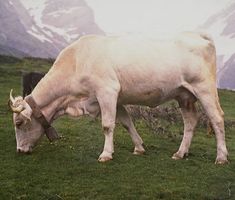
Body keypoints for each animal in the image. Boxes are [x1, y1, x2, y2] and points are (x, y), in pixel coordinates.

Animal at [8, 32, 228, 164]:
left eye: (19, 123)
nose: (19, 150)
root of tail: (197, 35)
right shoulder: (117, 98)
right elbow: (126, 123)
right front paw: (139, 148)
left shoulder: (107, 90)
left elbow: (107, 125)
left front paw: (106, 154)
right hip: (184, 95)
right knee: (190, 121)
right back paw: (180, 153)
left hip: (204, 89)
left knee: (216, 119)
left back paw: (221, 157)